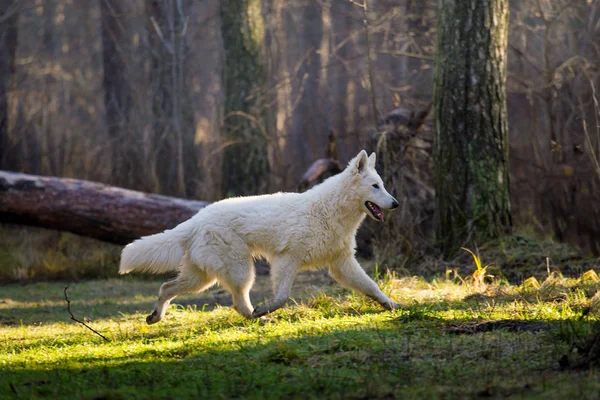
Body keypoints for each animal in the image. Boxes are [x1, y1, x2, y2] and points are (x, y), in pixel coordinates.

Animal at [118, 148, 398, 324]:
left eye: (383, 185)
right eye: (375, 186)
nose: (395, 204)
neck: (328, 210)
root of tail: (196, 219)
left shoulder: (342, 263)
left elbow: (372, 286)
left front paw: (392, 306)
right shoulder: (287, 261)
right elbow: (282, 297)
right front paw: (267, 308)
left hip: (202, 278)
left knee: (167, 287)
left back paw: (155, 317)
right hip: (240, 271)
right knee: (238, 303)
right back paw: (259, 317)